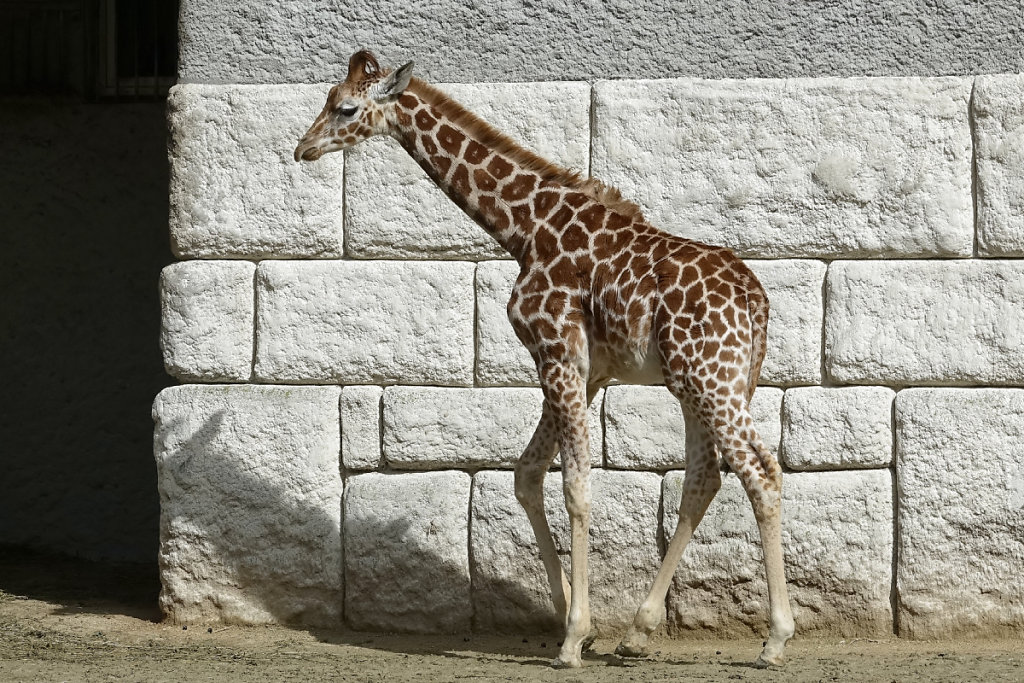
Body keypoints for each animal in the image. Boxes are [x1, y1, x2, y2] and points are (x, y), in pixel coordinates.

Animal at [294, 50, 795, 670]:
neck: (525, 229)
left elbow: (574, 487)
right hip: (703, 381)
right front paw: (575, 621)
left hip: (710, 379)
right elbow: (528, 474)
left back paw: (775, 640)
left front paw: (574, 637)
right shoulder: (587, 371)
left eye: (344, 107)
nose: (303, 148)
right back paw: (638, 632)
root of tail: (754, 298)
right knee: (704, 479)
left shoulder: (555, 353)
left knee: (761, 472)